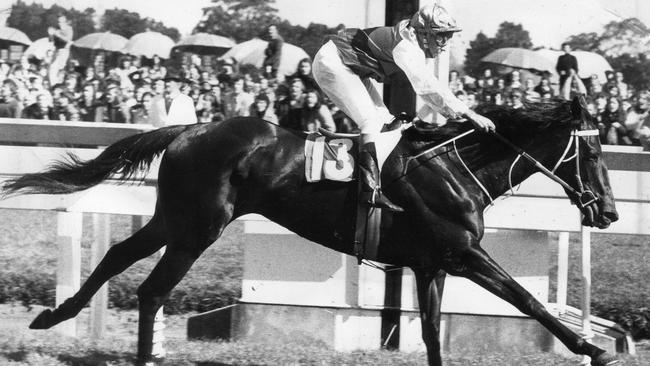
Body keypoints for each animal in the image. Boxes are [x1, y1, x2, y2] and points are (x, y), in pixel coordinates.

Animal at [3, 96, 616, 364]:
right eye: (590, 151)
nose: (608, 212)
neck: (452, 167)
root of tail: (190, 128)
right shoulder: (463, 253)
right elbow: (527, 300)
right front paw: (593, 349)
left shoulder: (431, 264)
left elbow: (432, 332)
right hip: (198, 227)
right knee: (153, 288)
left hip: (173, 218)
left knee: (119, 260)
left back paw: (52, 316)